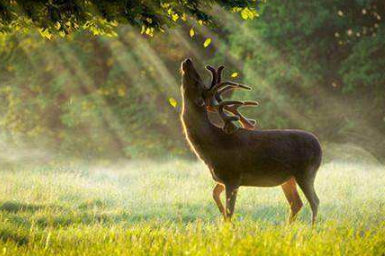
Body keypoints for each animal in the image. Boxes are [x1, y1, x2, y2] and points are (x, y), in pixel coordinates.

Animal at [180, 58, 320, 224]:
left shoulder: (232, 176)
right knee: (296, 203)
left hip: (306, 172)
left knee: (314, 201)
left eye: (197, 82)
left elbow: (230, 211)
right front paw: (222, 218)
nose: (187, 60)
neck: (212, 146)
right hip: (288, 178)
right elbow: (215, 195)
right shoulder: (222, 179)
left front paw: (228, 226)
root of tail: (319, 146)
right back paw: (288, 227)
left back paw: (312, 228)